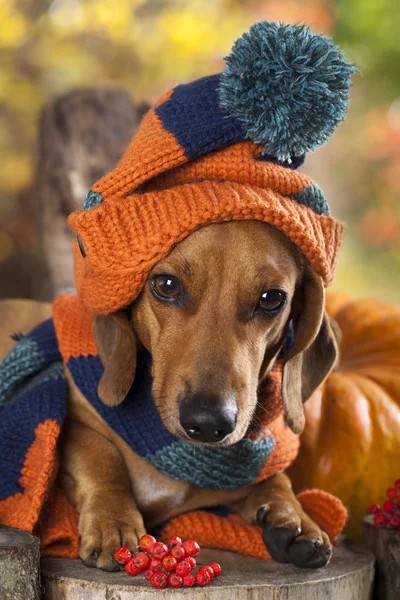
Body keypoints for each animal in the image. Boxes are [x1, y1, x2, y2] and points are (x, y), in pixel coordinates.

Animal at [56, 220, 338, 572]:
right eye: (166, 285)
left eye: (272, 298)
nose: (208, 422)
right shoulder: (73, 422)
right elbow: (99, 456)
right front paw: (113, 521)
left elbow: (276, 478)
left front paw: (294, 516)